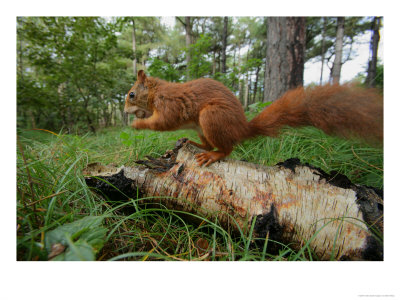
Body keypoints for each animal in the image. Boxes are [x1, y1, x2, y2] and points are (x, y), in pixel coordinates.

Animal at [125, 69, 384, 166]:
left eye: (131, 94)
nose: (126, 111)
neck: (157, 93)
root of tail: (242, 129)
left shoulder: (168, 105)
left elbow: (163, 122)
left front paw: (137, 124)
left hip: (211, 117)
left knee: (226, 149)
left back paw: (212, 155)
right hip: (201, 126)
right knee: (210, 143)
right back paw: (193, 143)